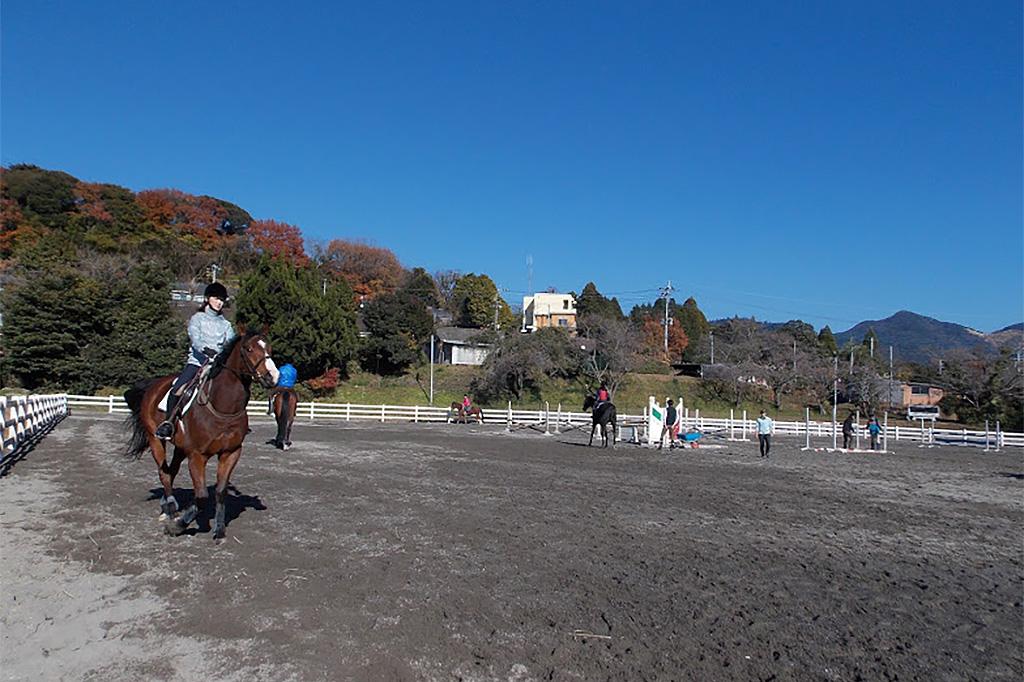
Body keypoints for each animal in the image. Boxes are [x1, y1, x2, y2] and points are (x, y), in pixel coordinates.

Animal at [121, 329, 278, 536]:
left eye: (269, 348)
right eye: (249, 348)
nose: (272, 377)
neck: (222, 407)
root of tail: (154, 385)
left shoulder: (231, 452)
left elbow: (220, 491)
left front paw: (219, 529)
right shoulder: (197, 456)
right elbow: (202, 496)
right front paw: (178, 525)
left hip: (180, 448)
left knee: (170, 472)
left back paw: (167, 507)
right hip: (156, 440)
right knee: (163, 473)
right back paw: (171, 510)